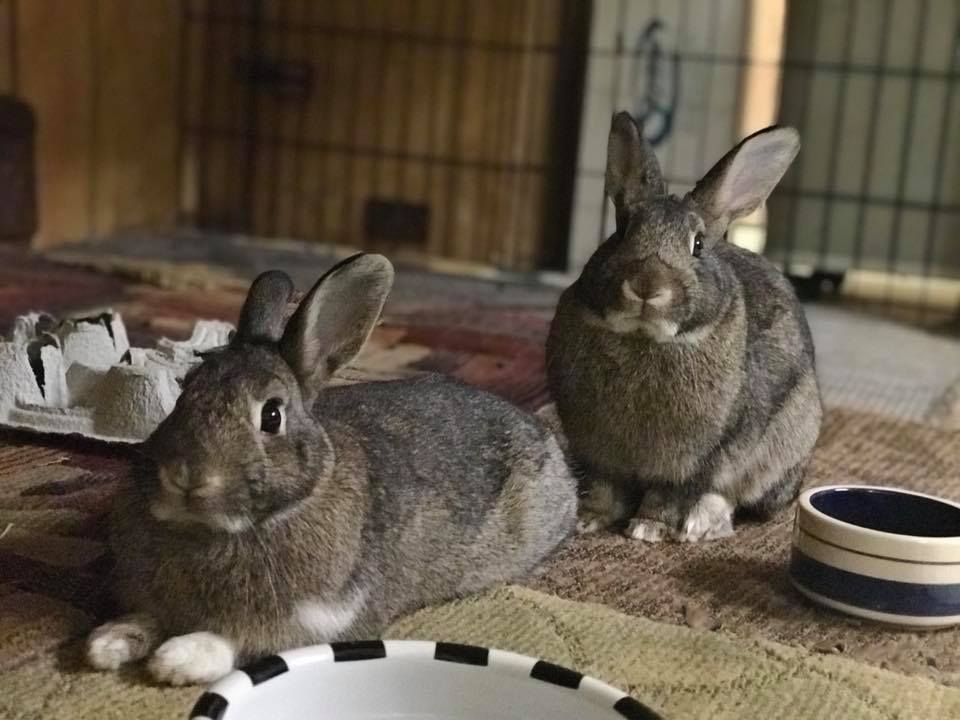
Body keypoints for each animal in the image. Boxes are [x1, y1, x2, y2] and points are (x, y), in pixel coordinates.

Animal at [86, 253, 577, 686]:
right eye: (184, 391)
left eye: (272, 416)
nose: (185, 476)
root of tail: (546, 436)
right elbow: (147, 615)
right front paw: (108, 642)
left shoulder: (325, 621)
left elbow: (245, 639)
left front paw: (180, 658)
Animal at [546, 112, 822, 543]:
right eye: (622, 231)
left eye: (698, 245)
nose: (647, 287)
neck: (645, 338)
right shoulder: (598, 455)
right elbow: (604, 487)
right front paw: (587, 520)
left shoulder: (696, 462)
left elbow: (671, 494)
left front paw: (648, 529)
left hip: (781, 450)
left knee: (736, 498)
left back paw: (701, 524)